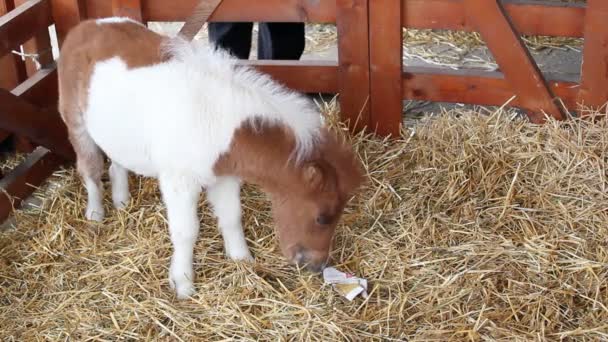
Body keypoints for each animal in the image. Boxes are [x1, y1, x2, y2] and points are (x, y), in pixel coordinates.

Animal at [57, 17, 364, 298]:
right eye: (323, 217)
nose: (316, 266)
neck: (221, 126)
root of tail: (86, 25)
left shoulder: (225, 177)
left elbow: (231, 216)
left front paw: (242, 260)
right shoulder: (179, 183)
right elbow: (186, 232)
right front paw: (182, 284)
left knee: (117, 161)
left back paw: (121, 201)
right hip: (76, 122)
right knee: (90, 167)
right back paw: (95, 213)